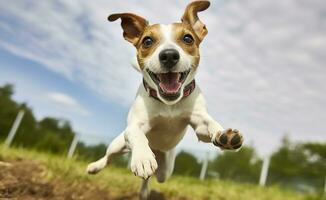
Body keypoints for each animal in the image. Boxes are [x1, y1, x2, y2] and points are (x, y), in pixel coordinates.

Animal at [85, 0, 243, 199]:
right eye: (147, 41)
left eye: (188, 39)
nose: (168, 55)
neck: (169, 104)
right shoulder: (135, 125)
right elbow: (136, 133)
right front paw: (142, 158)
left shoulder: (199, 123)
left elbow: (211, 124)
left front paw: (224, 136)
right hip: (118, 144)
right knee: (109, 157)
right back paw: (96, 166)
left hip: (165, 169)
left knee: (152, 177)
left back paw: (144, 191)